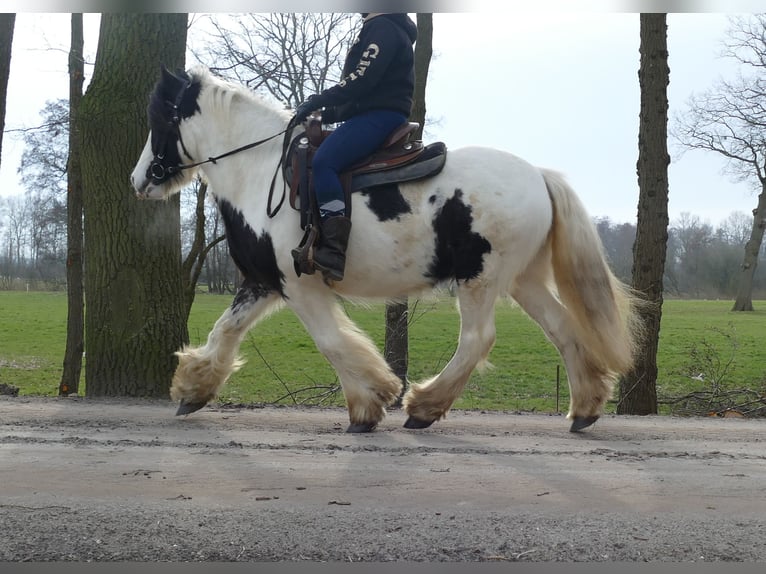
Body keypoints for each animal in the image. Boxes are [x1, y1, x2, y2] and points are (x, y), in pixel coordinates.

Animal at [130, 65, 643, 433]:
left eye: (160, 118)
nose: (140, 180)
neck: (259, 173)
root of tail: (538, 174)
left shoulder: (299, 285)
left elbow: (332, 341)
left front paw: (370, 402)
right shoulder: (263, 282)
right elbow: (225, 331)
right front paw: (192, 390)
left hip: (480, 279)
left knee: (478, 339)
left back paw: (424, 407)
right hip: (523, 279)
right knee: (562, 328)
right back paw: (585, 408)